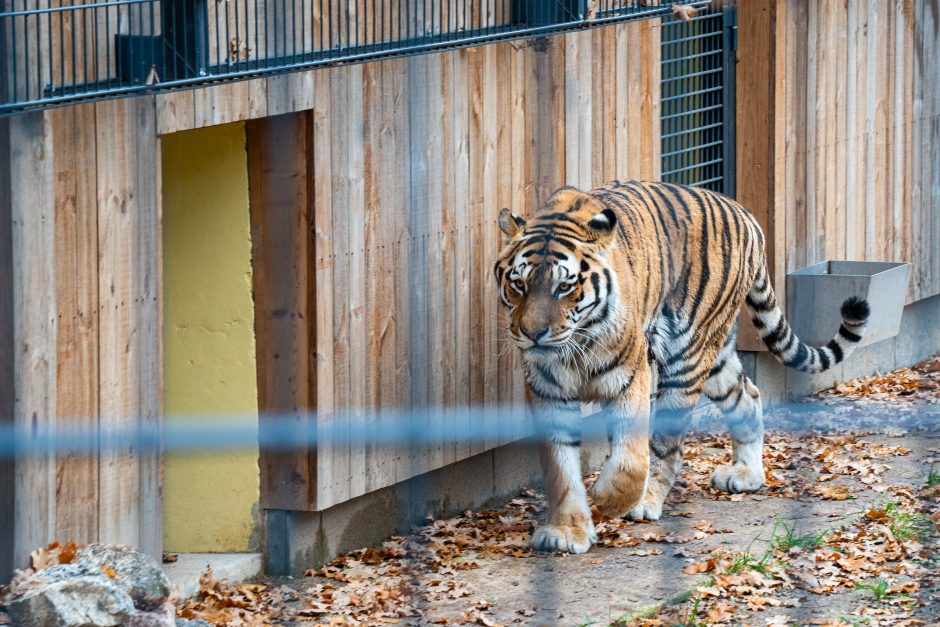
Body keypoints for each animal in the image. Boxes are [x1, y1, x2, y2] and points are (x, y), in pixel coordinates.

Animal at [496, 182, 872, 556]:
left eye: (565, 286)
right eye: (519, 285)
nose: (533, 334)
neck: (576, 346)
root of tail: (746, 214)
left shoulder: (631, 375)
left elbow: (631, 460)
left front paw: (608, 499)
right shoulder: (547, 390)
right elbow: (561, 468)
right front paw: (566, 531)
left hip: (688, 355)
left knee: (667, 446)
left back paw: (646, 502)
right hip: (716, 359)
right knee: (747, 394)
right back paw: (746, 473)